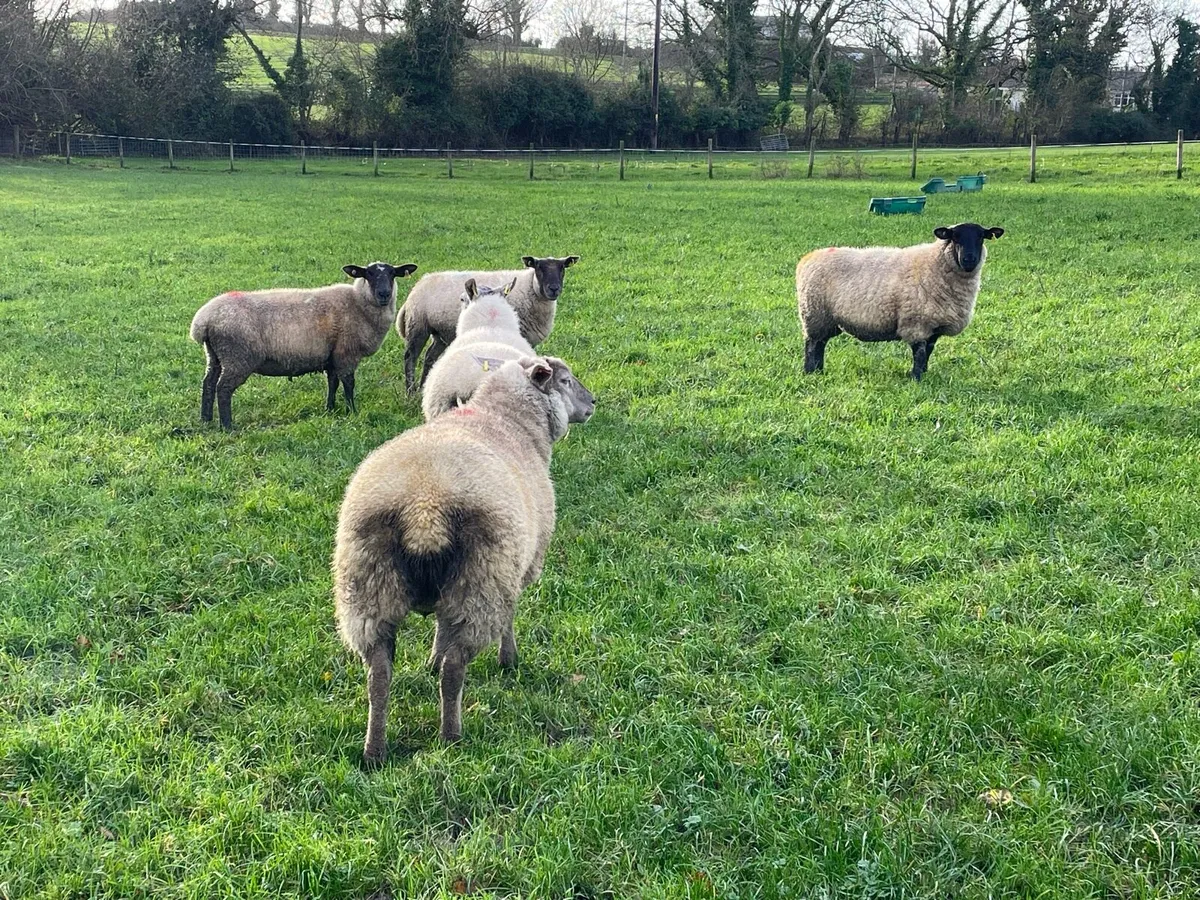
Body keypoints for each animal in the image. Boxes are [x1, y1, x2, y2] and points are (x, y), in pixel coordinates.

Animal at [190, 261, 417, 429]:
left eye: (392, 274)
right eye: (368, 274)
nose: (384, 294)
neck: (358, 303)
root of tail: (203, 321)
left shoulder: (331, 355)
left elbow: (332, 383)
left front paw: (330, 409)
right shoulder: (346, 353)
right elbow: (348, 383)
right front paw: (352, 411)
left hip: (215, 355)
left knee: (208, 383)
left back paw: (206, 420)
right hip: (238, 356)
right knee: (223, 388)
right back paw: (227, 426)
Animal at [332, 355, 596, 762]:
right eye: (566, 381)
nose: (593, 403)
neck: (504, 420)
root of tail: (424, 507)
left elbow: (441, 627)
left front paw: (431, 659)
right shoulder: (515, 569)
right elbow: (508, 619)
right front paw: (509, 659)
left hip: (368, 587)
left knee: (378, 675)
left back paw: (374, 750)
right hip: (481, 580)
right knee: (455, 670)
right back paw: (451, 735)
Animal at [397, 255, 579, 394]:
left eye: (562, 268)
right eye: (538, 267)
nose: (554, 289)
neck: (529, 289)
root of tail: (420, 282)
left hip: (440, 333)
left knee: (429, 356)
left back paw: (423, 386)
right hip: (418, 326)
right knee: (410, 357)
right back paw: (410, 392)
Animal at [796, 223, 1004, 381]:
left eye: (981, 237)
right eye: (955, 237)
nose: (969, 259)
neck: (935, 264)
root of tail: (808, 258)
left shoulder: (934, 325)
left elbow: (929, 350)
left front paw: (924, 374)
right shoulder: (916, 323)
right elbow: (919, 353)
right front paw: (916, 378)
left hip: (825, 318)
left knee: (820, 344)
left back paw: (819, 371)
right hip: (814, 314)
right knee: (812, 345)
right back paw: (810, 372)